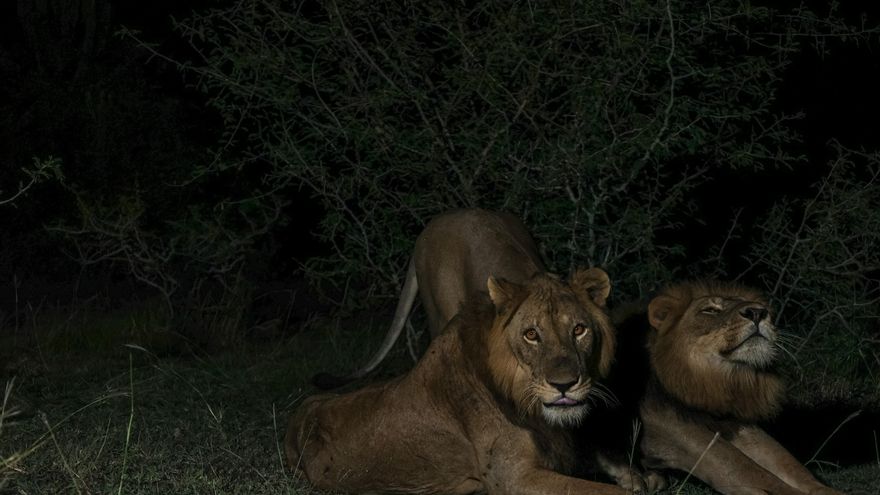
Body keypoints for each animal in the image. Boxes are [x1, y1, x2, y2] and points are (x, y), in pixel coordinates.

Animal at [602, 280, 843, 495]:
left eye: (760, 308)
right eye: (710, 310)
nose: (758, 312)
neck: (719, 380)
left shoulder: (734, 423)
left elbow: (788, 464)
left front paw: (828, 491)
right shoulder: (673, 427)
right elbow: (745, 468)